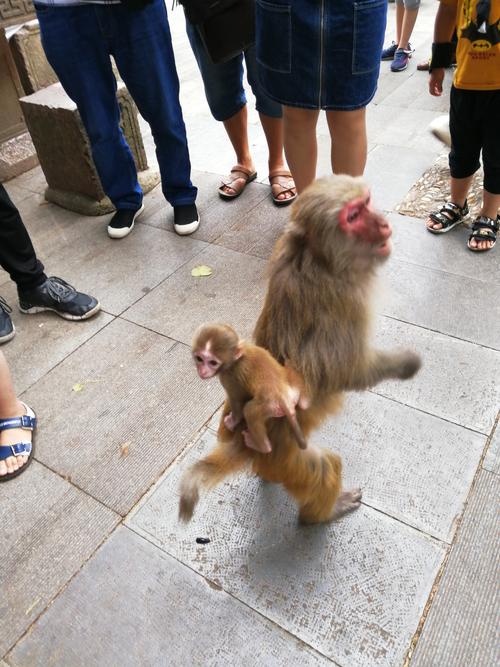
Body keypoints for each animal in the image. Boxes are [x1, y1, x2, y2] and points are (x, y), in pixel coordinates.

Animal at [192, 324, 306, 454]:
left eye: (213, 362)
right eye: (199, 359)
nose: (202, 371)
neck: (236, 358)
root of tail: (284, 398)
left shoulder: (229, 377)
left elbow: (237, 401)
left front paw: (232, 422)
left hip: (271, 406)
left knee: (250, 410)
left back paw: (262, 446)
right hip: (293, 386)